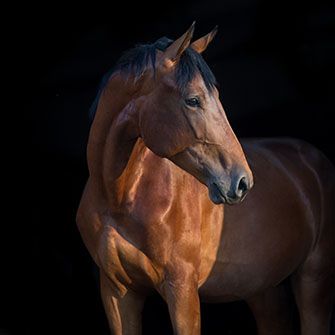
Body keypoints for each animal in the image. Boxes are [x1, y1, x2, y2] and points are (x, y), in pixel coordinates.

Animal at [77, 22, 335, 334]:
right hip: (263, 291)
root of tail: (312, 160)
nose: (242, 181)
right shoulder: (117, 292)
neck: (120, 198)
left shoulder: (182, 291)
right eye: (193, 100)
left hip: (314, 279)